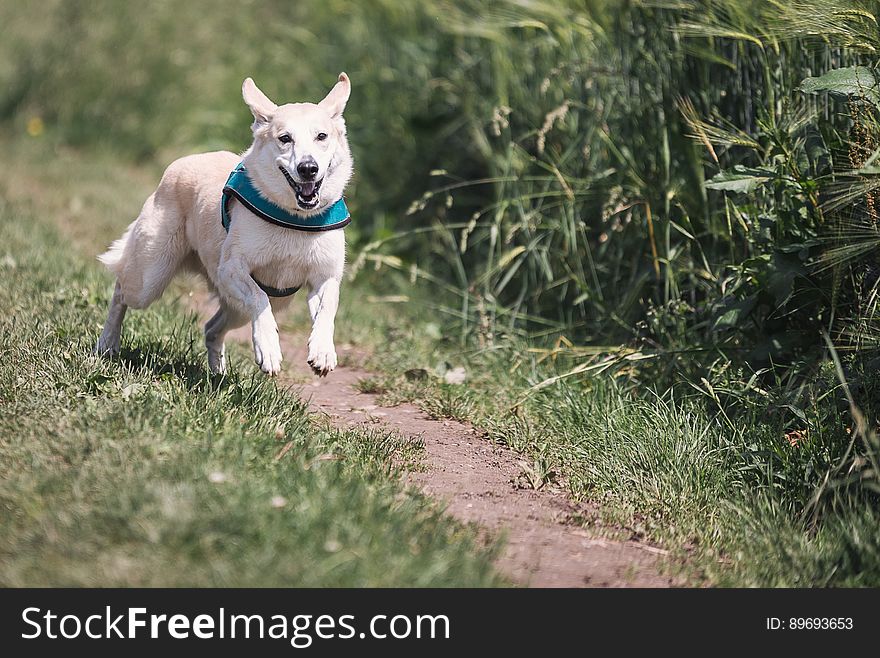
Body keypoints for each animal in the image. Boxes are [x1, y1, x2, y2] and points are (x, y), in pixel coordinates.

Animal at [92, 72, 348, 374]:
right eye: (285, 138)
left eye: (322, 136)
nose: (308, 168)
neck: (295, 219)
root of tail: (181, 163)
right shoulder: (232, 268)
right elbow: (259, 298)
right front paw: (269, 349)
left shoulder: (324, 276)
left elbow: (327, 307)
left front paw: (323, 352)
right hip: (149, 278)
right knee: (121, 291)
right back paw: (107, 343)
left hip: (235, 308)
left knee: (212, 328)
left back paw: (217, 374)